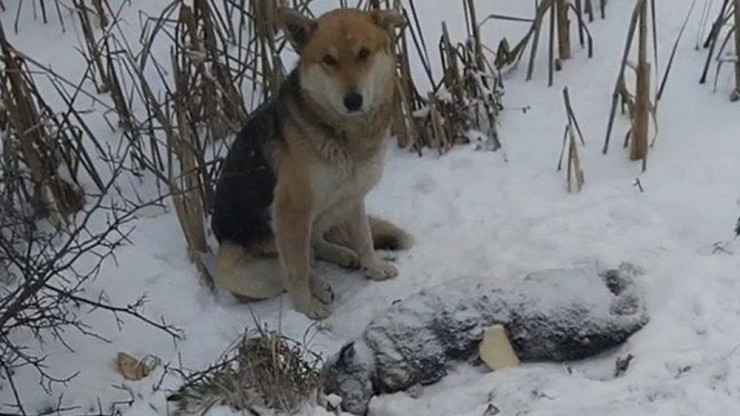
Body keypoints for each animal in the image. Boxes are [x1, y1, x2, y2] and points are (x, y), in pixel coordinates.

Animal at [210, 6, 410, 318]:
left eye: (364, 54)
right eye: (329, 60)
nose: (353, 101)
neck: (344, 134)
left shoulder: (353, 196)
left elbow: (364, 237)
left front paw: (373, 269)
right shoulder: (291, 209)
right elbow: (297, 270)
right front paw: (306, 309)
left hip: (327, 211)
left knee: (314, 245)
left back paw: (342, 255)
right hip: (238, 269)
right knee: (292, 266)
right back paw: (318, 286)